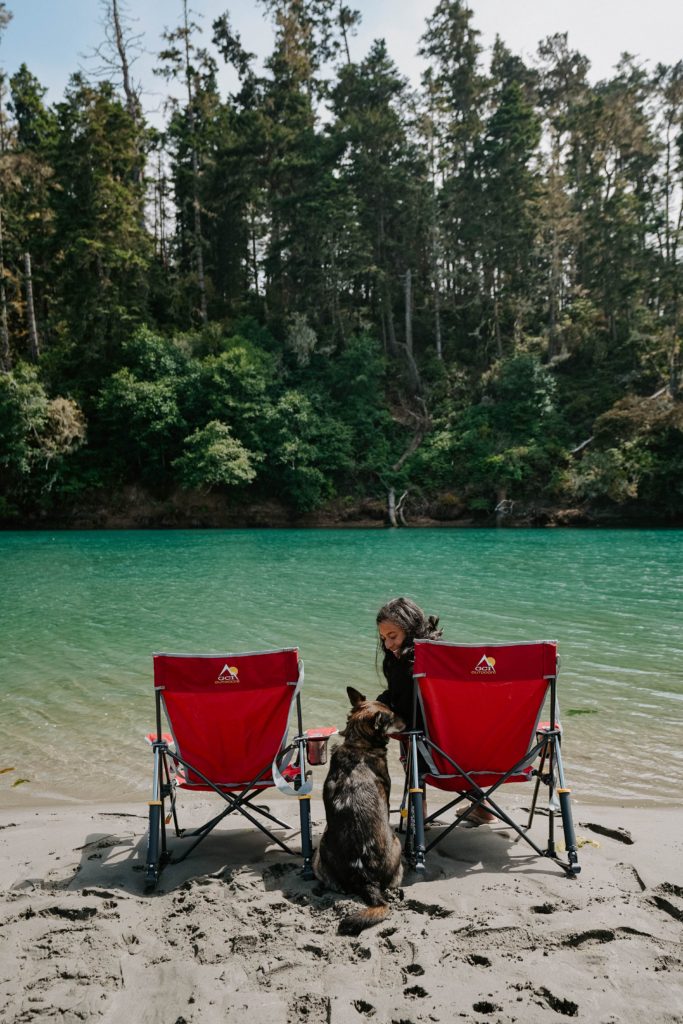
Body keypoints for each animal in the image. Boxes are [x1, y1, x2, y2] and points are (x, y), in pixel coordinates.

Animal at [313, 688, 405, 937]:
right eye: (393, 716)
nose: (406, 722)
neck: (359, 744)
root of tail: (365, 878)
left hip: (320, 851)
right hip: (397, 844)